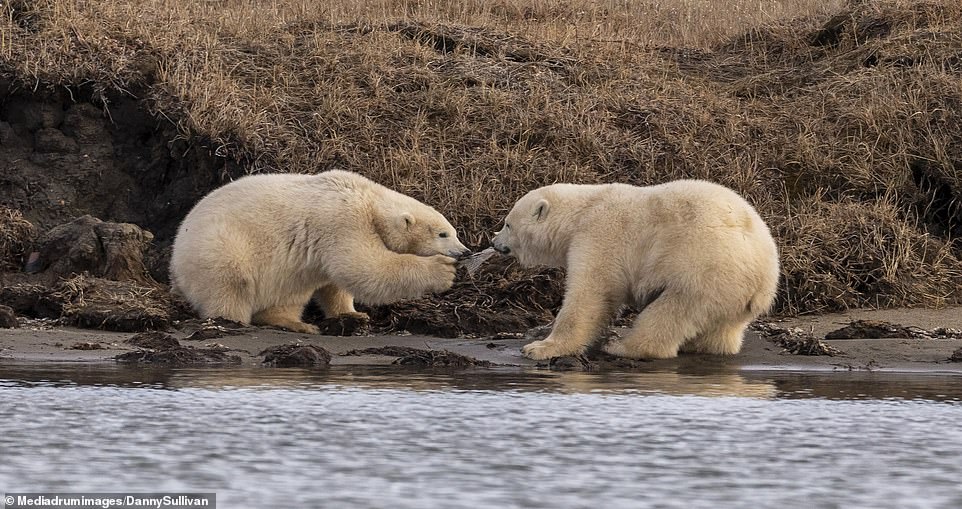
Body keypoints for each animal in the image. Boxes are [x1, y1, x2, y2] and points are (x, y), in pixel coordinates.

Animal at [169, 169, 468, 332]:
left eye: (454, 231)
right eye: (443, 234)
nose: (464, 252)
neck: (367, 198)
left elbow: (335, 282)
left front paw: (353, 313)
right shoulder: (342, 221)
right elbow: (363, 267)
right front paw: (442, 271)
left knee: (289, 291)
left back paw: (293, 321)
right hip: (218, 247)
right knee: (230, 283)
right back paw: (234, 320)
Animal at [492, 181, 776, 360]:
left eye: (507, 224)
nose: (494, 242)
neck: (581, 211)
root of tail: (765, 274)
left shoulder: (599, 235)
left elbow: (590, 293)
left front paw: (539, 348)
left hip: (706, 269)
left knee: (671, 312)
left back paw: (621, 347)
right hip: (732, 294)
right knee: (721, 328)